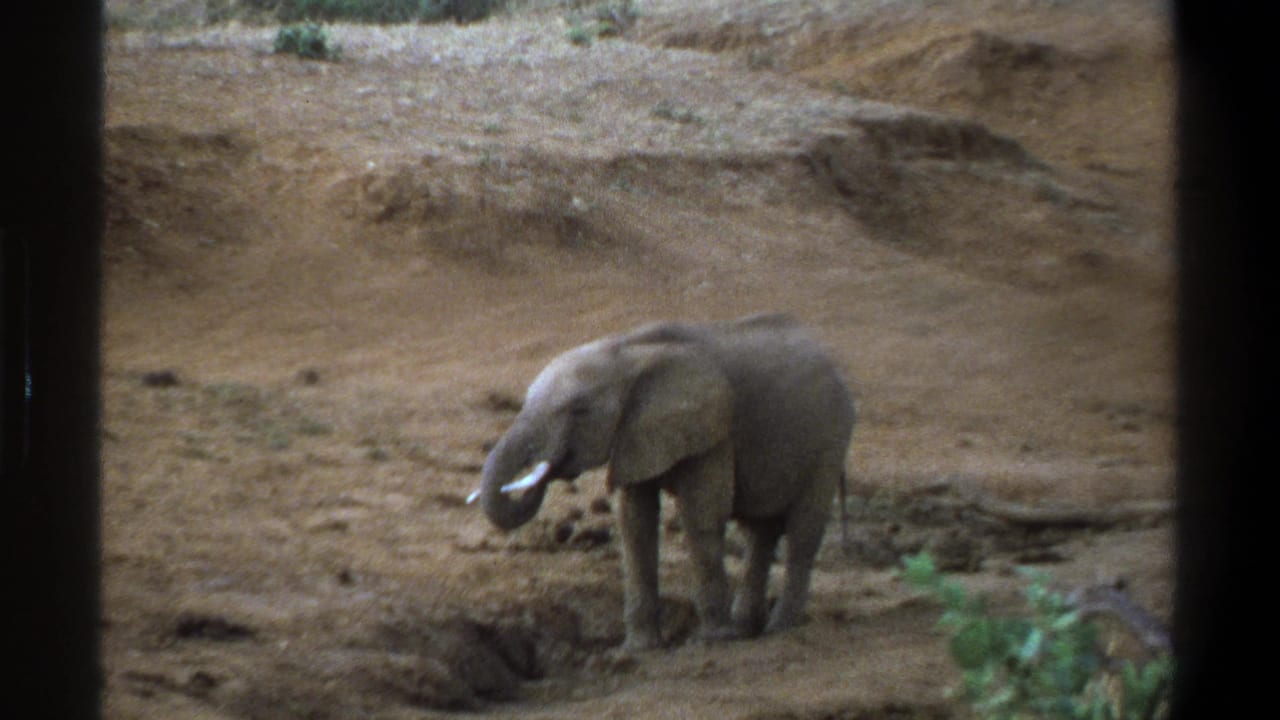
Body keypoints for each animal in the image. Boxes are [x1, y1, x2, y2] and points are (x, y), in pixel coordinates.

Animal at [468, 313, 856, 650]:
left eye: (580, 410)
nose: (544, 468)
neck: (625, 351)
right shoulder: (634, 430)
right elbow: (635, 522)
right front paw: (639, 649)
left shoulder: (712, 430)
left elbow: (700, 516)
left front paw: (713, 640)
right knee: (761, 531)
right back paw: (749, 628)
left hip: (831, 439)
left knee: (803, 531)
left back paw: (779, 627)